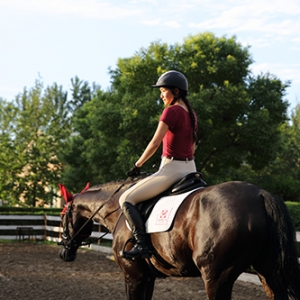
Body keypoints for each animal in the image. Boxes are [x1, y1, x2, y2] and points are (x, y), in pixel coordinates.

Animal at [58, 176, 300, 300]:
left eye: (62, 216)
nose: (63, 252)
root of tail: (261, 194)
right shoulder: (148, 277)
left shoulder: (133, 275)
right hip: (268, 272)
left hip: (217, 277)